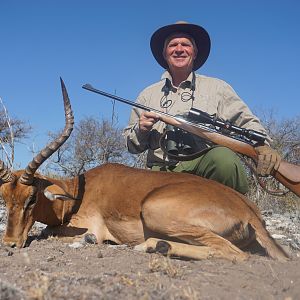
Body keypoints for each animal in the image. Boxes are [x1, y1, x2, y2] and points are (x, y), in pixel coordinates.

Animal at [0, 79, 288, 260]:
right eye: (4, 198)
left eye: (32, 198)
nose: (10, 243)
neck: (79, 191)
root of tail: (250, 211)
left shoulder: (88, 225)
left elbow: (48, 231)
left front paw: (86, 241)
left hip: (153, 211)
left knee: (236, 255)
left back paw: (149, 247)